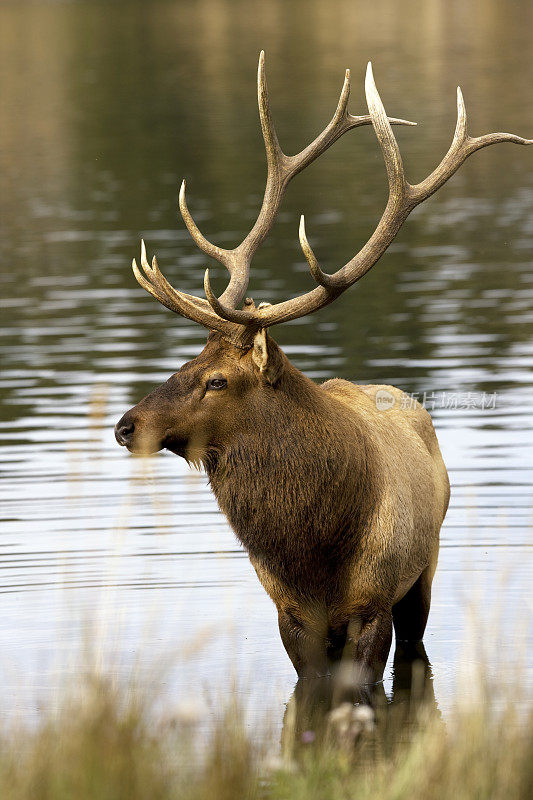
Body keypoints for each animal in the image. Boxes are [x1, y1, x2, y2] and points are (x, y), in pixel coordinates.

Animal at [114, 53, 528, 684]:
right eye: (184, 362)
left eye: (216, 380)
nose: (126, 426)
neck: (315, 550)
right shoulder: (289, 613)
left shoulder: (374, 603)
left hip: (426, 568)